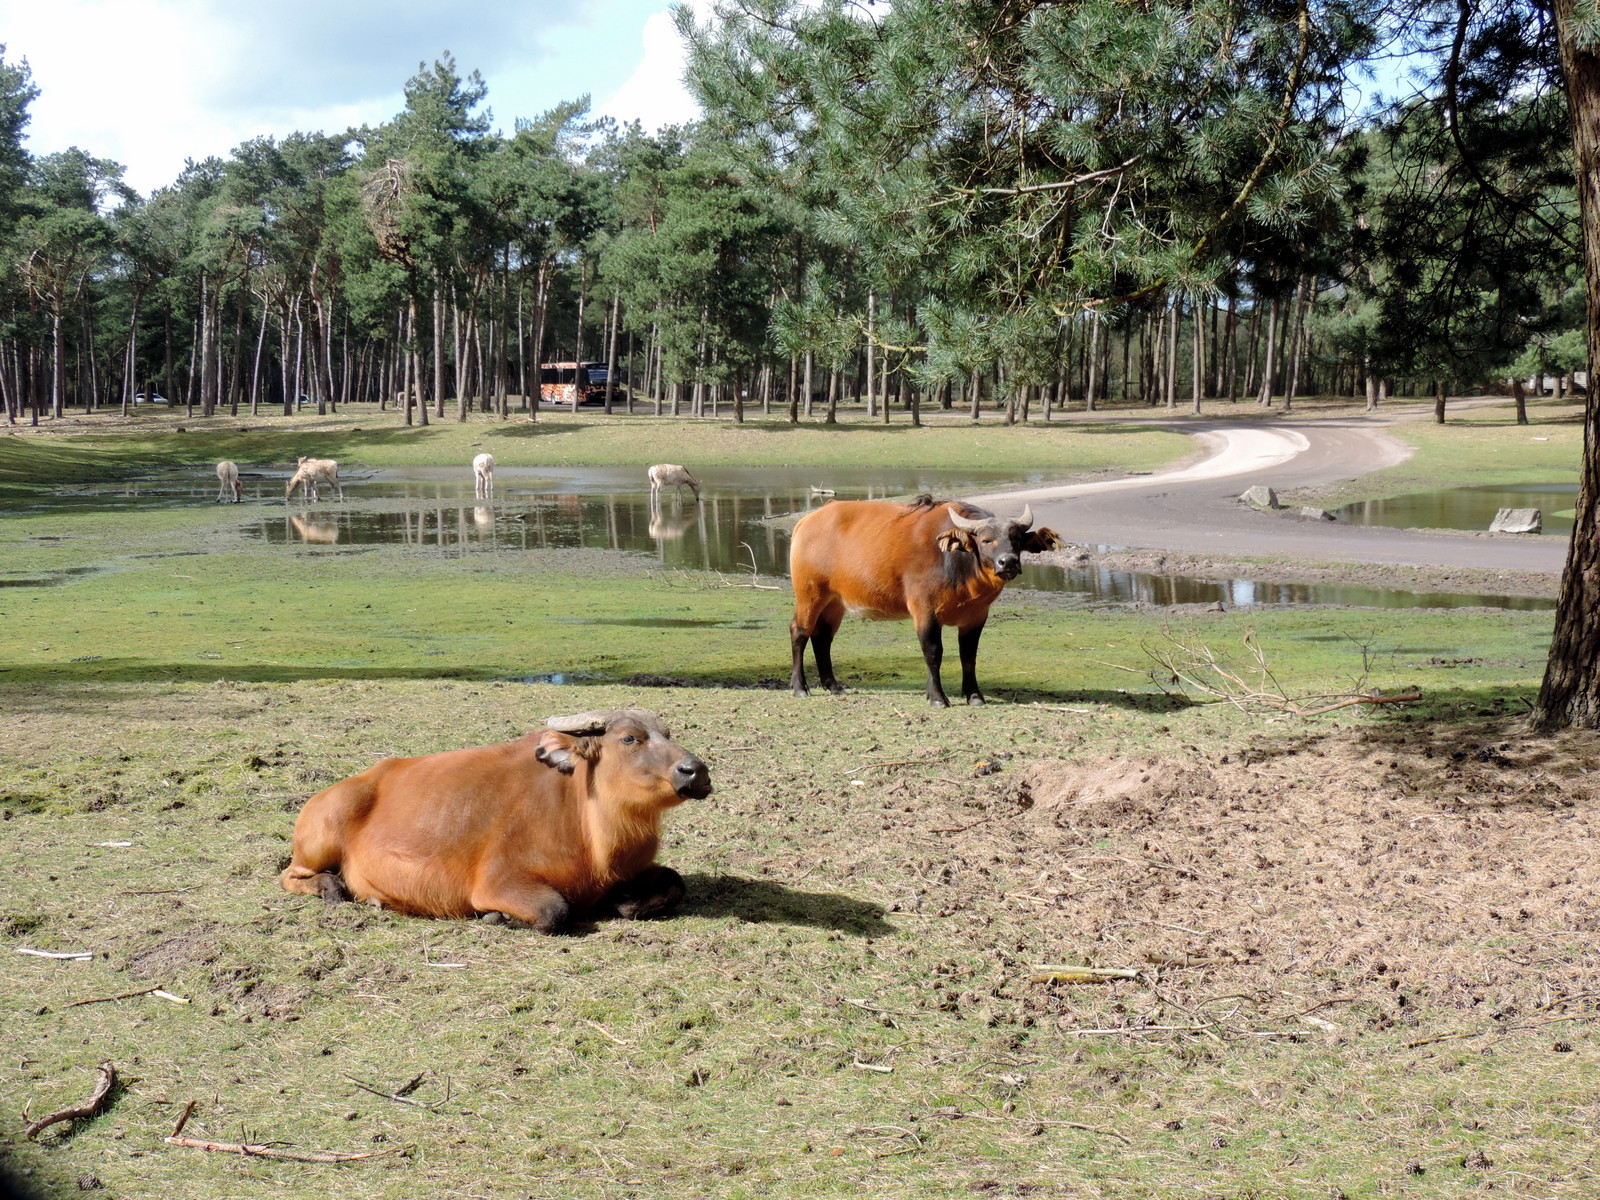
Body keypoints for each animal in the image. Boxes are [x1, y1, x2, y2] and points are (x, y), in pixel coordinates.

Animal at [281, 710, 713, 934]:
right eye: (629, 738)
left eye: (667, 733)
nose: (696, 772)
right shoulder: (499, 881)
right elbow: (554, 912)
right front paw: (499, 916)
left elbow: (675, 882)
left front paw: (625, 900)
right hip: (321, 835)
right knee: (291, 875)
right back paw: (330, 887)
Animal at [787, 496, 1062, 710]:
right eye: (985, 539)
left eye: (1016, 539)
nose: (1008, 563)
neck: (957, 561)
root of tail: (806, 522)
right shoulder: (925, 610)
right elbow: (933, 652)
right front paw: (938, 697)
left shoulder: (976, 617)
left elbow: (968, 656)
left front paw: (974, 695)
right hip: (810, 593)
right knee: (800, 632)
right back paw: (800, 687)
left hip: (835, 602)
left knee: (822, 637)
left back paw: (833, 685)